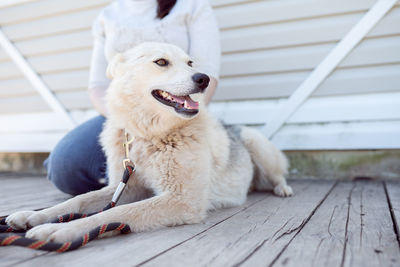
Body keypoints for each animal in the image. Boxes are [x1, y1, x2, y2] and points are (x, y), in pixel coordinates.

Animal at [6, 43, 292, 244]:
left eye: (190, 63)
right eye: (161, 62)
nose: (203, 78)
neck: (148, 135)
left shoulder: (181, 200)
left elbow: (113, 214)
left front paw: (63, 229)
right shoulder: (127, 186)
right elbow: (77, 201)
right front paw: (32, 215)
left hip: (258, 145)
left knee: (278, 174)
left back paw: (283, 189)